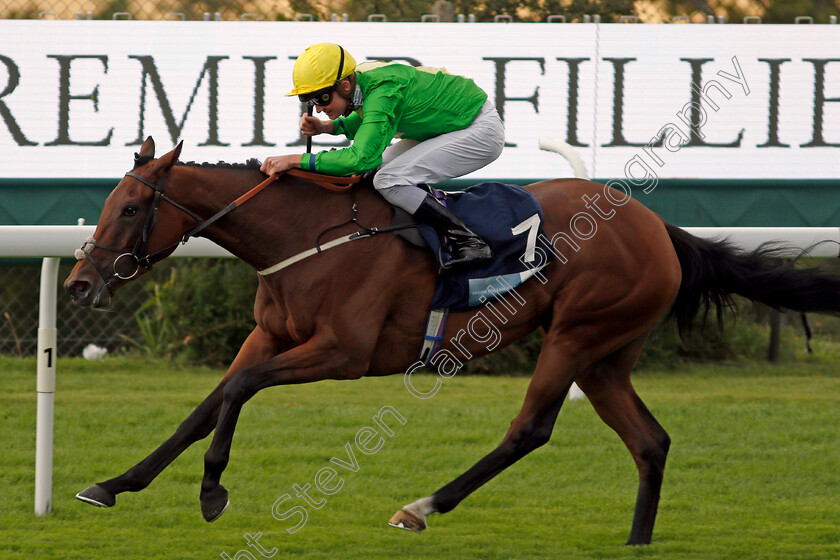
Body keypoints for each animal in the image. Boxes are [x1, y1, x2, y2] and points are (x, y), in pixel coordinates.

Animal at [62, 138, 840, 544]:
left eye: (131, 207)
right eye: (109, 204)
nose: (79, 282)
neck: (303, 237)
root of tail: (658, 227)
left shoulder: (343, 354)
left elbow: (239, 392)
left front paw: (213, 490)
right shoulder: (269, 334)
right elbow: (208, 404)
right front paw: (114, 484)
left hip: (575, 334)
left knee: (531, 429)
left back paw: (422, 507)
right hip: (608, 355)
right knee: (650, 441)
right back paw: (636, 542)